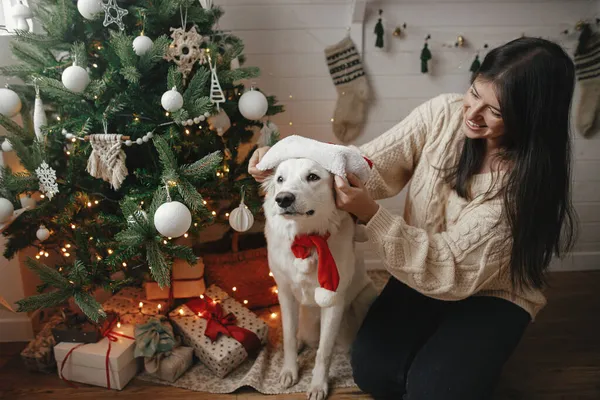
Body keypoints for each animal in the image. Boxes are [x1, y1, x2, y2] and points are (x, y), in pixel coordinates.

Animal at [262, 158, 376, 398]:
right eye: (280, 179)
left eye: (312, 177)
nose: (283, 199)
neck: (306, 239)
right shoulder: (285, 294)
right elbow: (288, 337)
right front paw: (289, 370)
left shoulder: (334, 301)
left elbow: (324, 352)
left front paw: (317, 385)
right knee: (298, 334)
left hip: (365, 296)